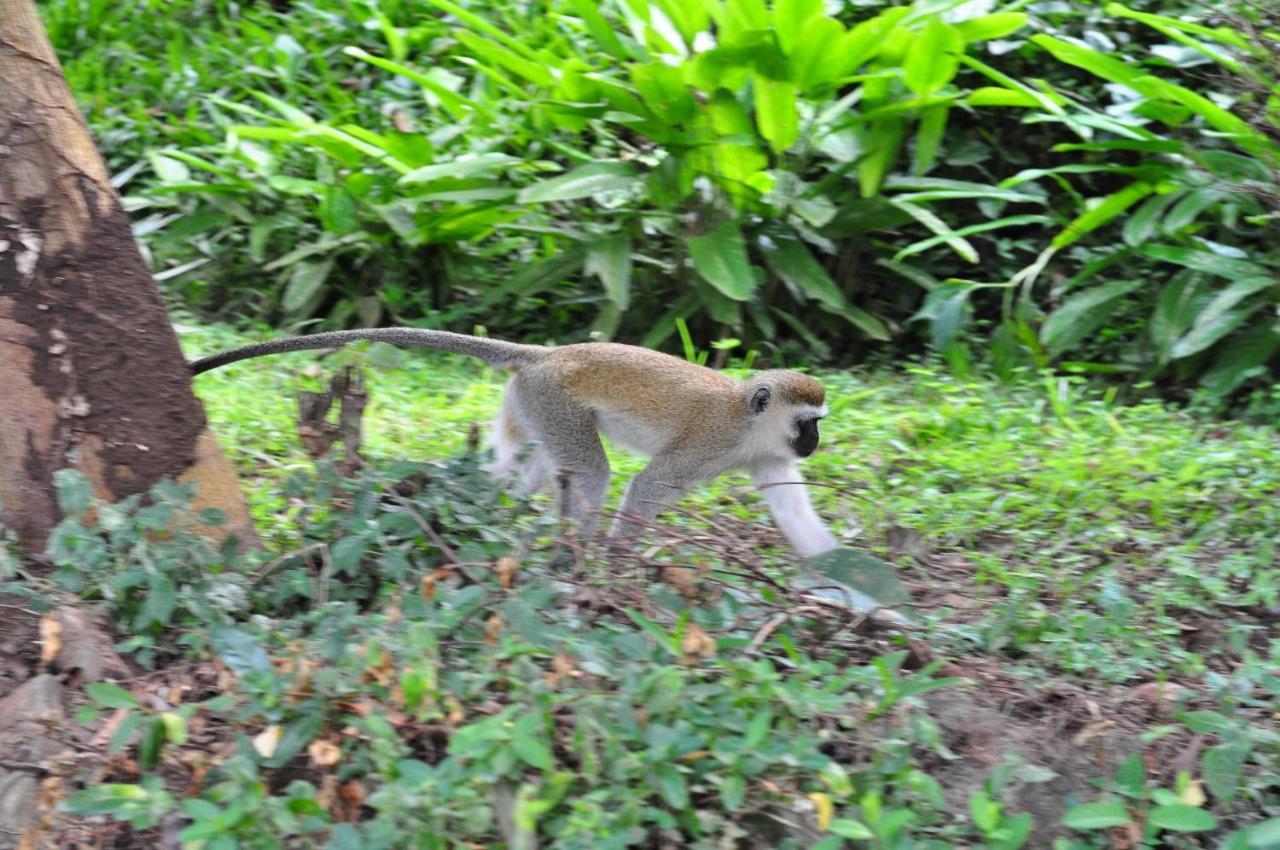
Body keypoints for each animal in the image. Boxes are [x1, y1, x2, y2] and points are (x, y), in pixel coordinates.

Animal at [192, 330, 839, 558]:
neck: (749, 422)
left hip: (529, 403)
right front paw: (616, 562)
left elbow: (796, 514)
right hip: (554, 400)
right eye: (807, 422)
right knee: (592, 473)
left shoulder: (768, 457)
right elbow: (648, 484)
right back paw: (570, 557)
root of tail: (549, 354)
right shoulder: (711, 439)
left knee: (516, 470)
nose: (813, 444)